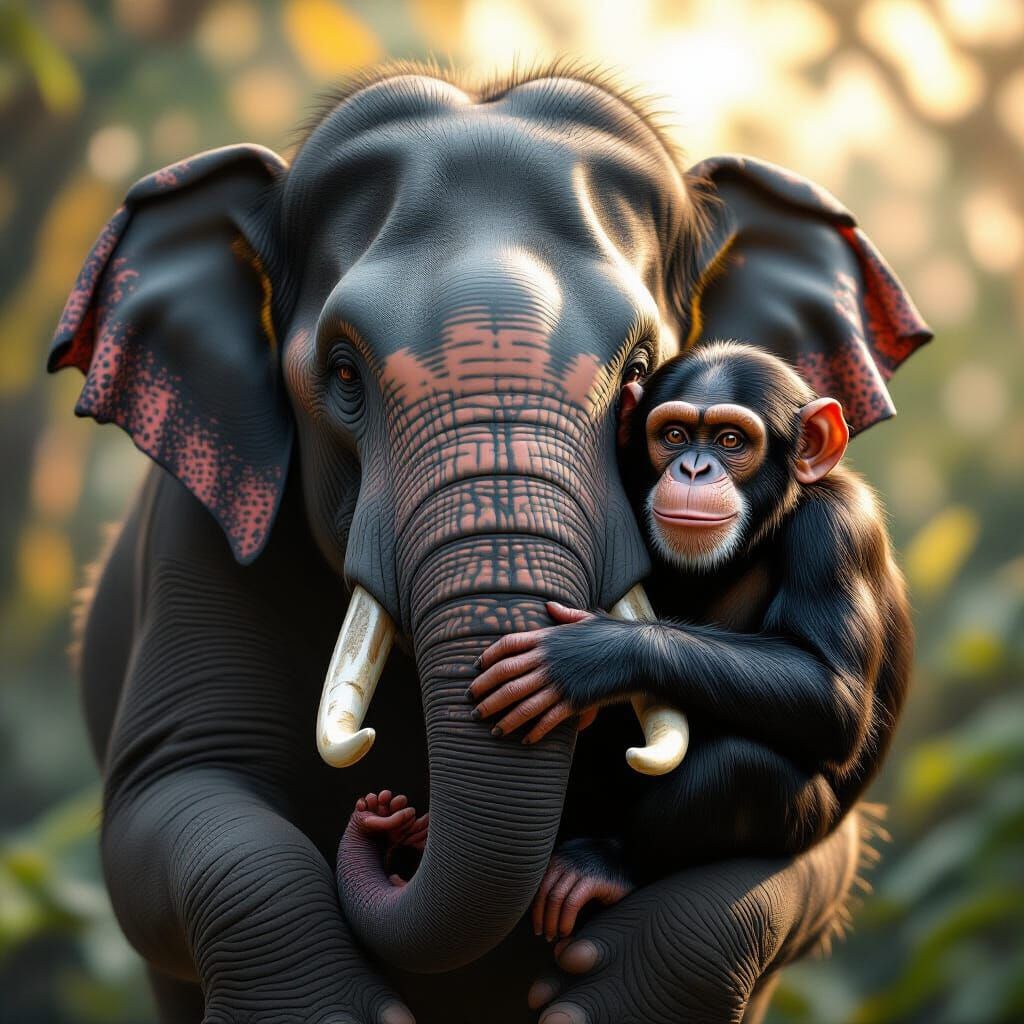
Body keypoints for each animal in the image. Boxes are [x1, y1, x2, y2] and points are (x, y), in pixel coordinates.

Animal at [467, 341, 913, 942]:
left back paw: (605, 864)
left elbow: (831, 689)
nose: (694, 468)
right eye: (674, 434)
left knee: (744, 767)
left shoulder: (840, 528)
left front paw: (586, 656)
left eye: (730, 441)